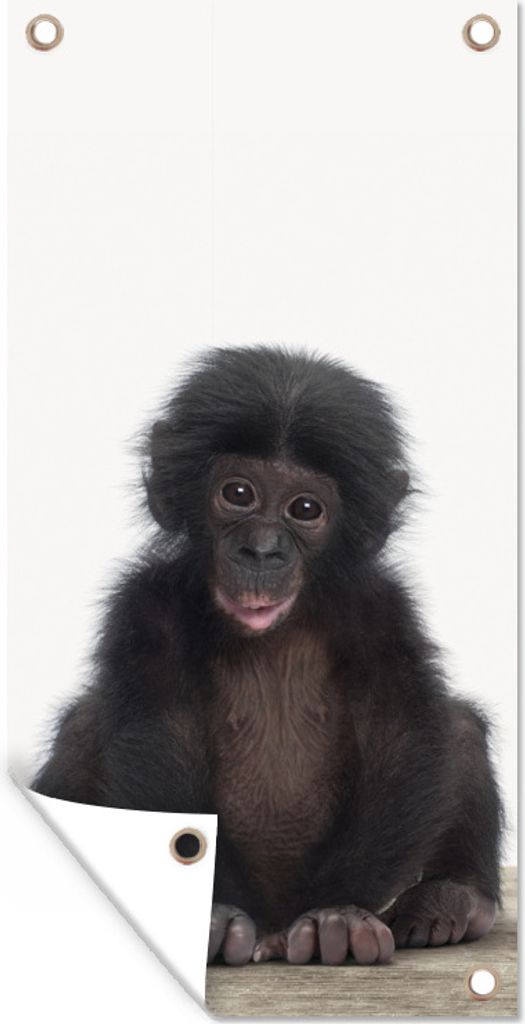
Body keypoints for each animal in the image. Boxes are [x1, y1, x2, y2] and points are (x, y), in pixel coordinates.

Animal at [32, 345, 504, 967]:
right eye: (238, 494)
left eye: (304, 508)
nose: (262, 549)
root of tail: (274, 916)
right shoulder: (146, 604)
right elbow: (158, 734)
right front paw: (210, 916)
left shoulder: (383, 609)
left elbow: (402, 737)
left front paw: (337, 916)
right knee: (85, 724)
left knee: (460, 727)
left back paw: (453, 899)